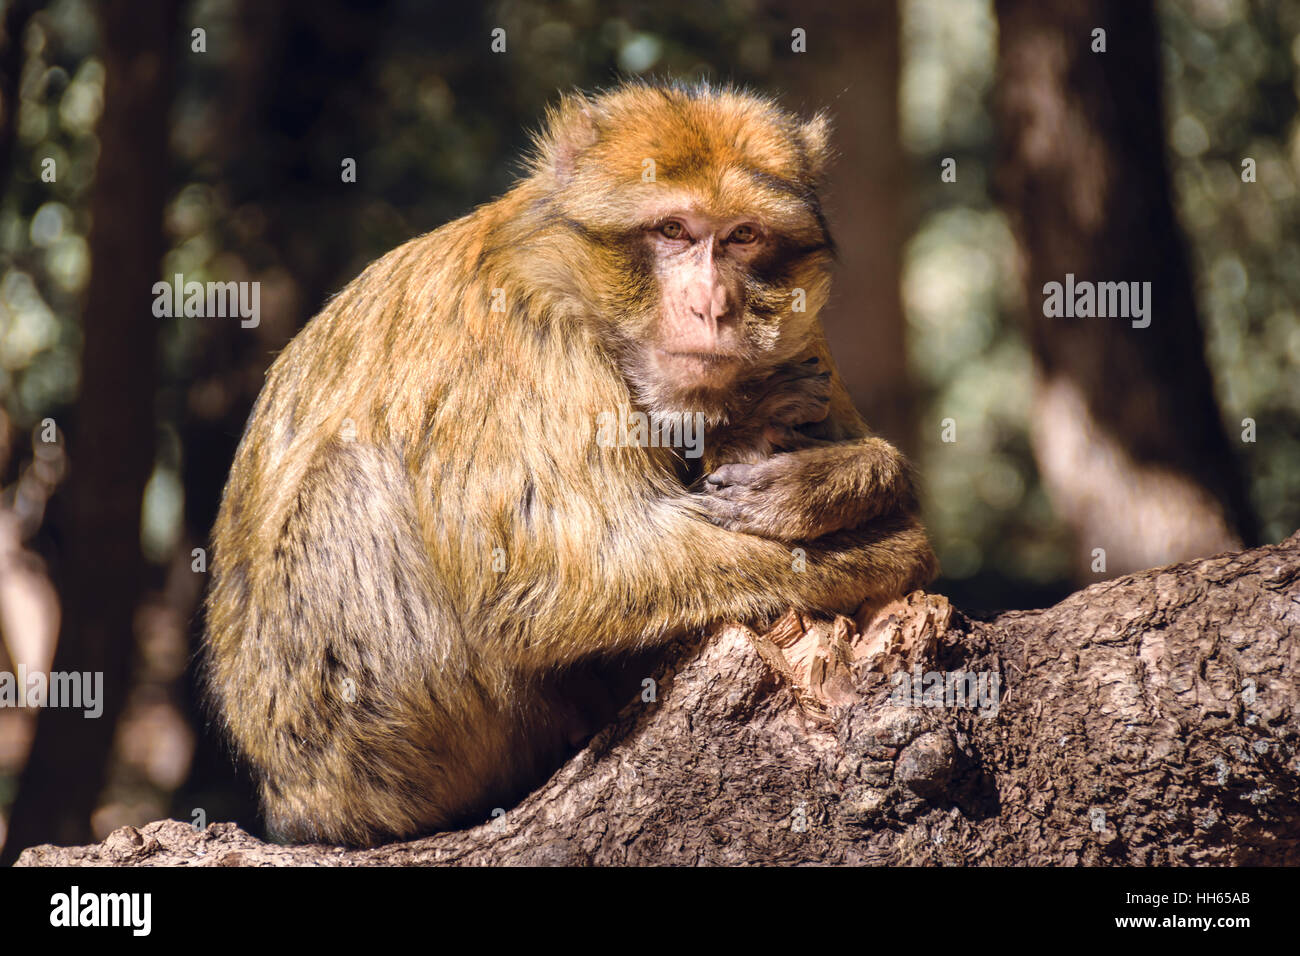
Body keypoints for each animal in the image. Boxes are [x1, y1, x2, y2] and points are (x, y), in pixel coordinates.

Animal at [200, 80, 935, 842]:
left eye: (742, 236)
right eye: (673, 231)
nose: (712, 305)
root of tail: (293, 802)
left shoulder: (807, 336)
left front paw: (840, 480)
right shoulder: (523, 343)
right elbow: (565, 570)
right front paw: (878, 549)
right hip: (356, 738)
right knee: (352, 477)